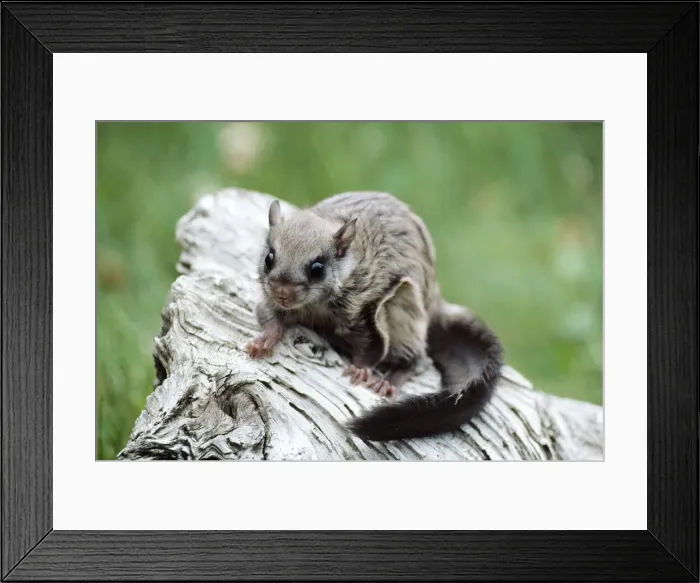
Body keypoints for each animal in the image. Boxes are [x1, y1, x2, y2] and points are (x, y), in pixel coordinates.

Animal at [246, 191, 504, 442]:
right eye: (269, 258)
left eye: (317, 269)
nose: (283, 292)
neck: (315, 306)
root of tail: (435, 303)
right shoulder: (270, 301)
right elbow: (268, 316)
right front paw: (264, 340)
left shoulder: (364, 309)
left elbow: (370, 346)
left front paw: (361, 369)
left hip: (404, 309)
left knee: (419, 360)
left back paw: (391, 379)